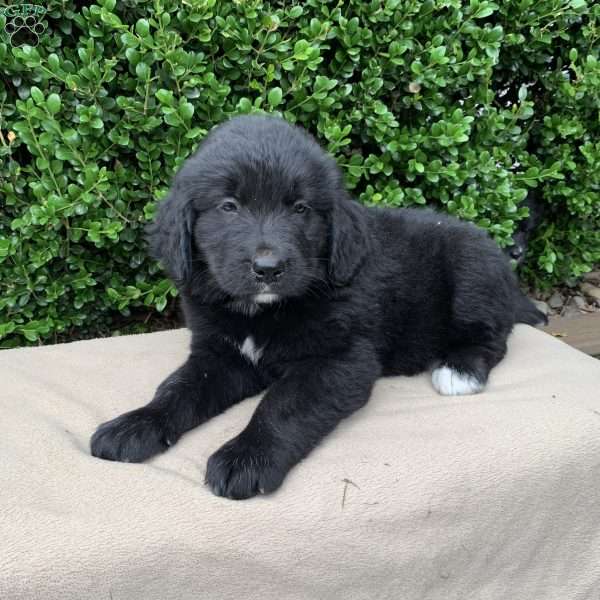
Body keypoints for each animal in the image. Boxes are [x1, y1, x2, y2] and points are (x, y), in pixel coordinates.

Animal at [90, 115, 548, 500]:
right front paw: (135, 424)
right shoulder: (221, 354)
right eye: (228, 206)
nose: (268, 268)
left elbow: (284, 405)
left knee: (492, 336)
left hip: (472, 271)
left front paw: (247, 457)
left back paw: (460, 369)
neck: (263, 312)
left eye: (300, 208)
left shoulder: (340, 359)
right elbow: (176, 389)